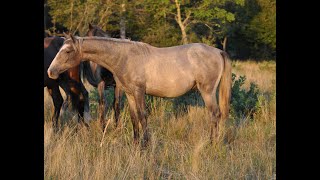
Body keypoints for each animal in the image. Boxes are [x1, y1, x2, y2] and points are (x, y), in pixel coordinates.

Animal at [47, 33, 231, 146]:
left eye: (68, 51)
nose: (50, 71)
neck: (125, 57)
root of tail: (218, 51)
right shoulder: (129, 94)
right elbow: (134, 117)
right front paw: (136, 144)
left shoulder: (138, 92)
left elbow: (143, 116)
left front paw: (146, 144)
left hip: (207, 92)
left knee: (215, 114)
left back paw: (212, 143)